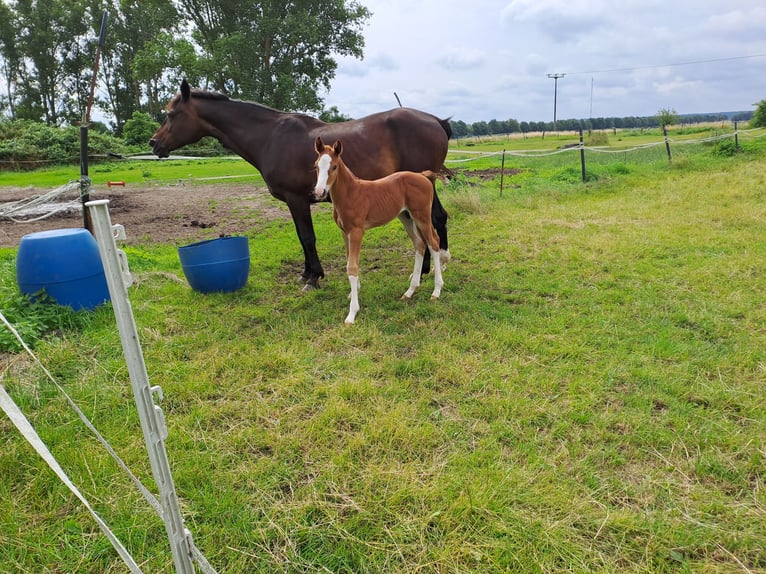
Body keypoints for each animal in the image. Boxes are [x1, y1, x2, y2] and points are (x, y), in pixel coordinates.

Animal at [149, 80, 450, 288]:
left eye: (172, 114)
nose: (154, 143)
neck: (270, 136)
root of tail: (435, 120)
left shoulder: (297, 199)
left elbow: (307, 237)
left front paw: (314, 277)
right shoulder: (292, 202)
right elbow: (300, 237)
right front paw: (306, 273)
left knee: (434, 221)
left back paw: (432, 267)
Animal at [314, 136, 450, 324]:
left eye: (333, 166)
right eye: (316, 166)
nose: (319, 191)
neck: (350, 193)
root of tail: (422, 175)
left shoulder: (356, 231)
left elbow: (352, 267)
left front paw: (352, 313)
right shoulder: (344, 232)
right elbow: (349, 262)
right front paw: (353, 292)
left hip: (421, 216)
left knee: (433, 242)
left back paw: (436, 291)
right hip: (405, 216)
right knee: (420, 245)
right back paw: (410, 291)